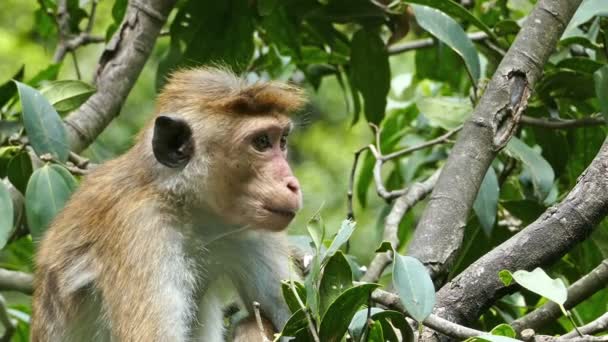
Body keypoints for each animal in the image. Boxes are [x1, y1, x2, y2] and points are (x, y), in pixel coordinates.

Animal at [30, 67, 306, 342]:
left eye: (282, 141)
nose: (292, 184)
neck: (190, 212)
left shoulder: (251, 231)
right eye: (261, 142)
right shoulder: (141, 228)